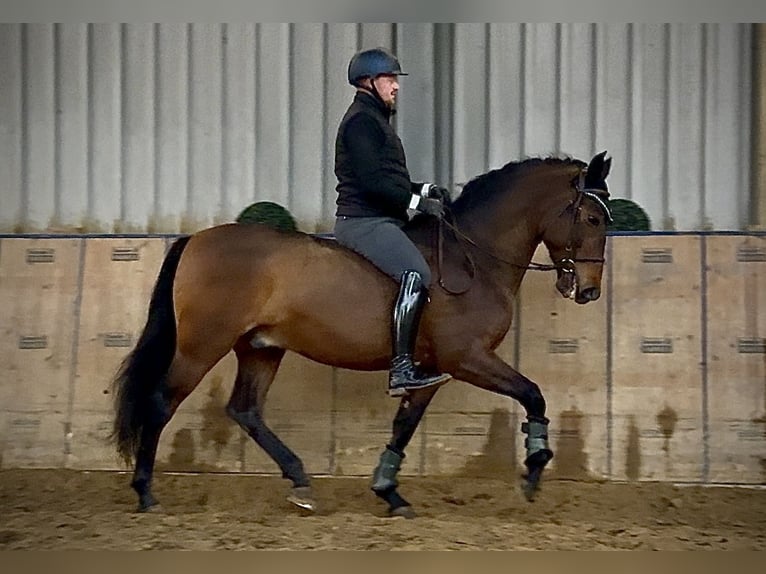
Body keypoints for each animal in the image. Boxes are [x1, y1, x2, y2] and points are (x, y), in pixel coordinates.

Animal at [111, 151, 613, 517]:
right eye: (592, 218)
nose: (588, 290)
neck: (474, 257)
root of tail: (195, 239)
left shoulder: (431, 369)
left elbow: (405, 425)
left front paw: (389, 491)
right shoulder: (465, 358)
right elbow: (532, 394)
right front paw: (534, 468)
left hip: (260, 348)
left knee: (246, 410)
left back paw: (301, 483)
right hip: (202, 346)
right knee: (162, 402)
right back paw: (146, 493)